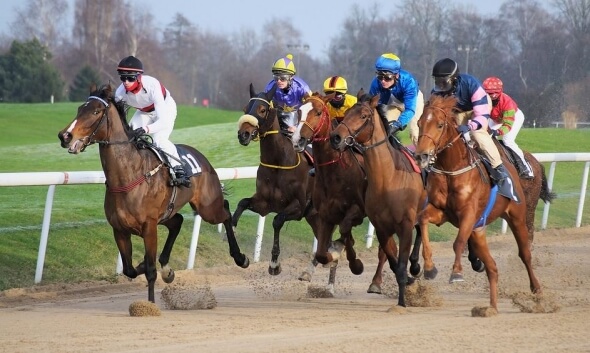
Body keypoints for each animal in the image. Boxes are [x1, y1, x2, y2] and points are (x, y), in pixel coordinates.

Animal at [56, 83, 249, 302]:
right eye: (80, 108)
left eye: (96, 111)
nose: (65, 136)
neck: (128, 175)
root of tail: (203, 159)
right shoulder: (120, 229)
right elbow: (130, 269)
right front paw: (155, 268)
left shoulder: (149, 227)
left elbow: (150, 271)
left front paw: (151, 302)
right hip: (167, 214)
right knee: (178, 221)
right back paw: (167, 266)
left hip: (207, 208)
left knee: (225, 212)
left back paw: (240, 257)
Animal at [235, 83, 322, 278]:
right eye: (245, 108)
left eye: (262, 109)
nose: (243, 134)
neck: (278, 163)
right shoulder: (264, 203)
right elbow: (242, 203)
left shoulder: (299, 207)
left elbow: (277, 220)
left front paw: (274, 264)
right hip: (314, 216)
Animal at [294, 93, 396, 292]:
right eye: (299, 111)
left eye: (318, 112)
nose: (298, 140)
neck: (334, 172)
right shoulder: (325, 215)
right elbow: (322, 251)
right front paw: (333, 254)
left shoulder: (356, 212)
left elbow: (345, 231)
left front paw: (355, 264)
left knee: (385, 248)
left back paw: (376, 282)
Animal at [330, 93, 428, 306]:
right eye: (346, 113)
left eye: (364, 115)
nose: (335, 137)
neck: (387, 179)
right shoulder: (382, 227)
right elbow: (393, 262)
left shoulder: (405, 224)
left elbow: (401, 263)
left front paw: (402, 303)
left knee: (422, 230)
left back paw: (417, 265)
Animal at [416, 94, 552, 310]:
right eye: (419, 123)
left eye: (439, 125)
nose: (421, 155)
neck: (451, 169)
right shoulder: (440, 211)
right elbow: (422, 220)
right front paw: (429, 268)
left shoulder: (468, 214)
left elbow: (458, 242)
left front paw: (456, 272)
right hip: (479, 229)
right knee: (492, 266)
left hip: (518, 216)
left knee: (525, 253)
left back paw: (536, 289)